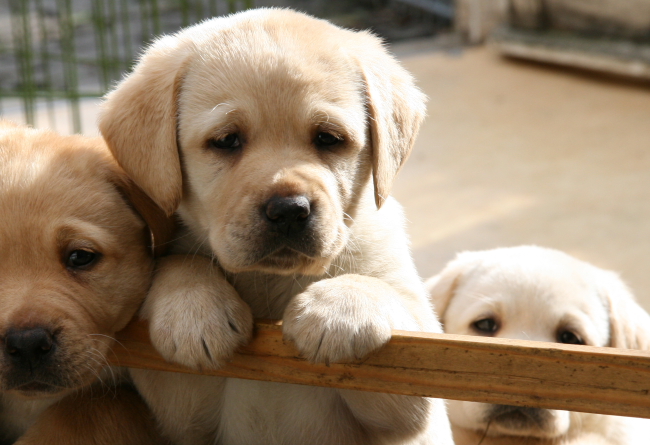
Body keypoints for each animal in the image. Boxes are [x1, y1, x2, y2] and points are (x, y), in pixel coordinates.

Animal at [101, 6, 454, 444]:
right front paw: (193, 306)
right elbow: (182, 264)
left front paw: (338, 309)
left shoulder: (415, 395)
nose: (289, 210)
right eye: (226, 140)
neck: (269, 282)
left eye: (328, 138)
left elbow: (384, 293)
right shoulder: (180, 404)